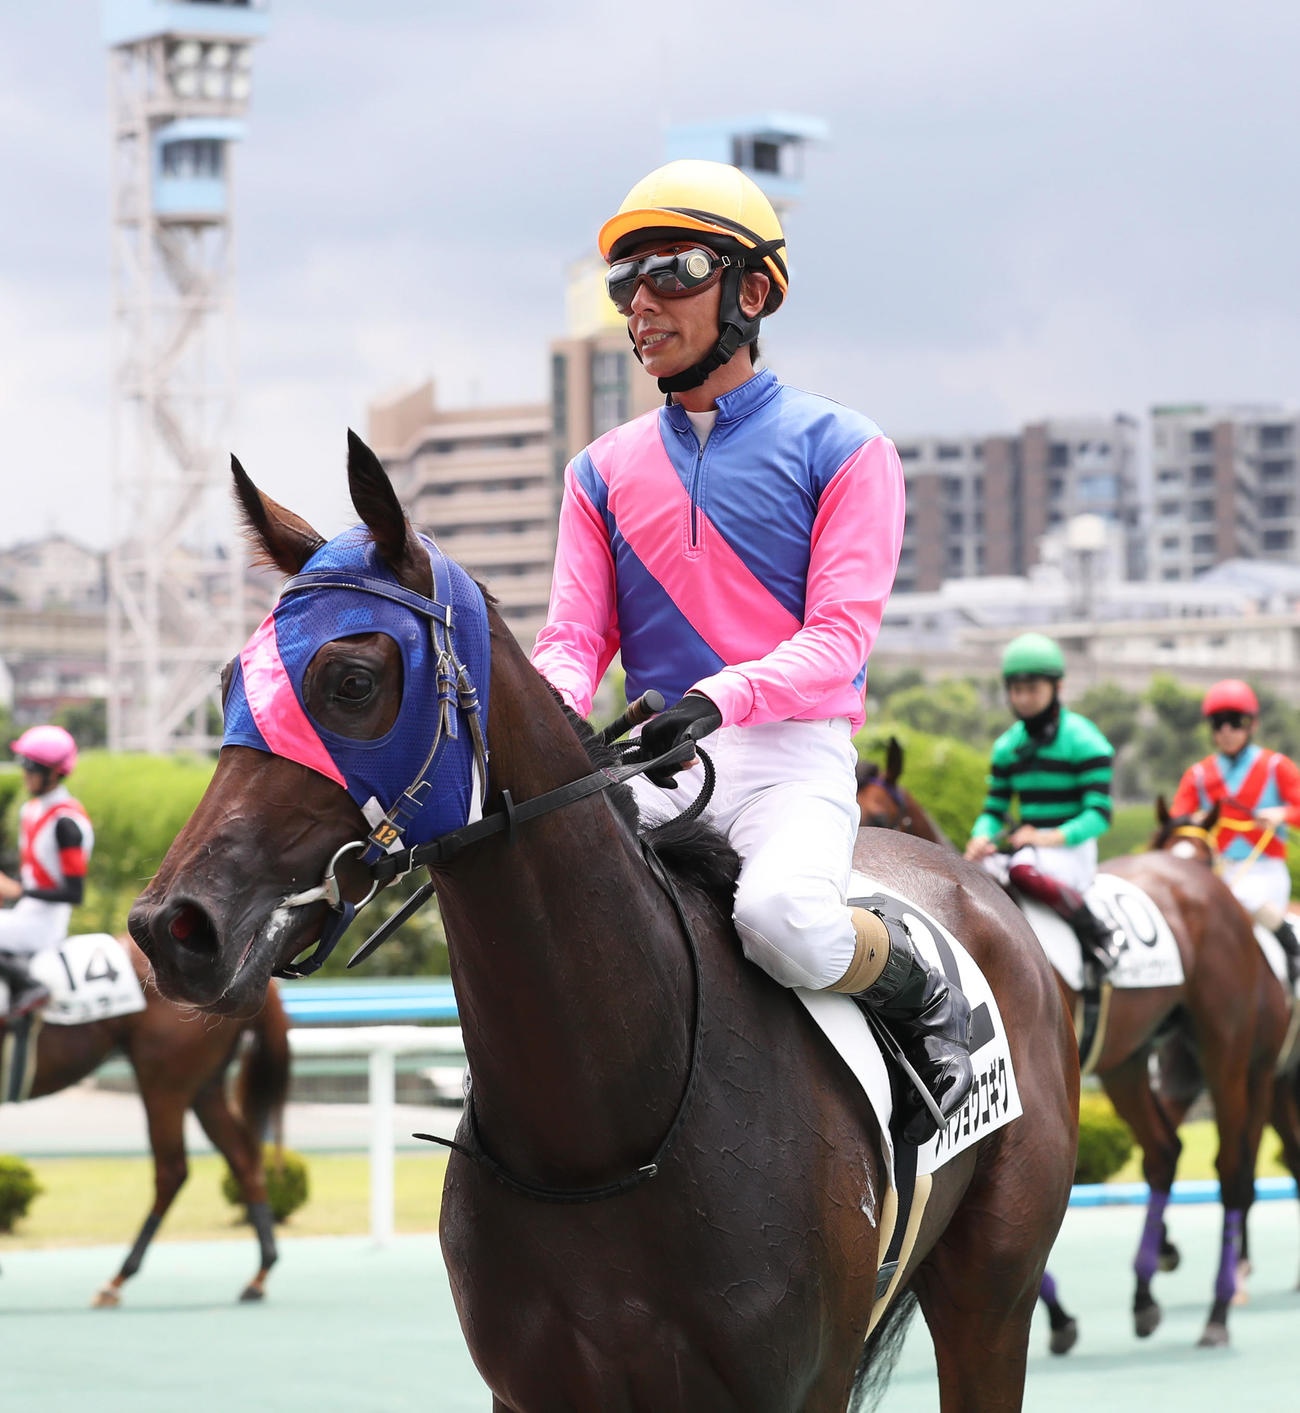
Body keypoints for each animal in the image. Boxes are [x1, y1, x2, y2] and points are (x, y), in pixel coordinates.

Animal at [3, 938, 289, 1306]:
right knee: (242, 1159)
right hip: (204, 1088)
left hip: (164, 1083)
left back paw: (118, 1279)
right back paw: (259, 1274)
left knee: (172, 1171)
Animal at [127, 433, 1077, 1412]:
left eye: (351, 680)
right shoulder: (532, 1386)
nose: (175, 926)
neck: (601, 1132)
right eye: (232, 681)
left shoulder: (800, 1381)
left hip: (987, 1294)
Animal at [863, 760, 1286, 1347]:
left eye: (885, 814)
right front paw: (1062, 1314)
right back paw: (1145, 1294)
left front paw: (1058, 1315)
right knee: (1163, 1151)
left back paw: (1219, 1312)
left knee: (1233, 1167)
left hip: (1227, 1051)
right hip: (1129, 1062)